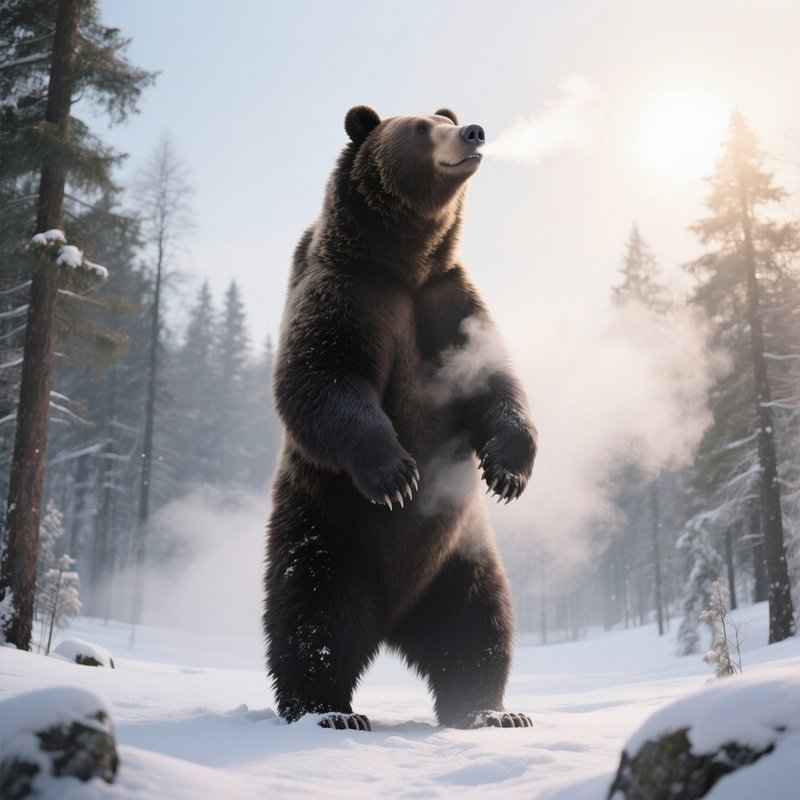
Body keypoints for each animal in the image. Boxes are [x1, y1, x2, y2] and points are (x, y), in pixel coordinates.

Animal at [264, 105, 537, 731]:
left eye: (445, 114)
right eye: (419, 126)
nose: (472, 131)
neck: (403, 263)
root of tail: (393, 619)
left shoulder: (452, 303)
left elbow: (496, 385)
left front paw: (508, 472)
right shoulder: (347, 293)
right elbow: (322, 377)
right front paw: (395, 474)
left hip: (459, 556)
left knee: (480, 622)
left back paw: (490, 710)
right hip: (330, 527)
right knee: (313, 615)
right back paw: (328, 710)